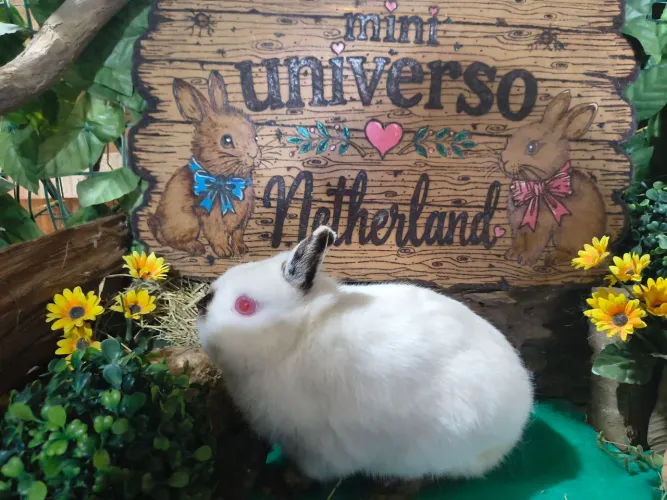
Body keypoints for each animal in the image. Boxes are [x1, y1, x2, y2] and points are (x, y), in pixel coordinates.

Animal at [147, 71, 260, 258]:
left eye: (255, 136)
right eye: (226, 140)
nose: (254, 154)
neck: (227, 181)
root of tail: (158, 227)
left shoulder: (241, 222)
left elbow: (238, 236)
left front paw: (242, 250)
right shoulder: (212, 220)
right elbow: (218, 236)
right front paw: (225, 252)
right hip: (189, 223)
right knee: (172, 240)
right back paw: (196, 247)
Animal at [500, 90, 607, 267]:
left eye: (531, 147)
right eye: (509, 140)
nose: (503, 161)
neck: (534, 187)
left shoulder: (542, 228)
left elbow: (534, 245)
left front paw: (526, 261)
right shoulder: (517, 227)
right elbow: (518, 241)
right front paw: (511, 254)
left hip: (564, 235)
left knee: (575, 254)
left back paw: (553, 258)